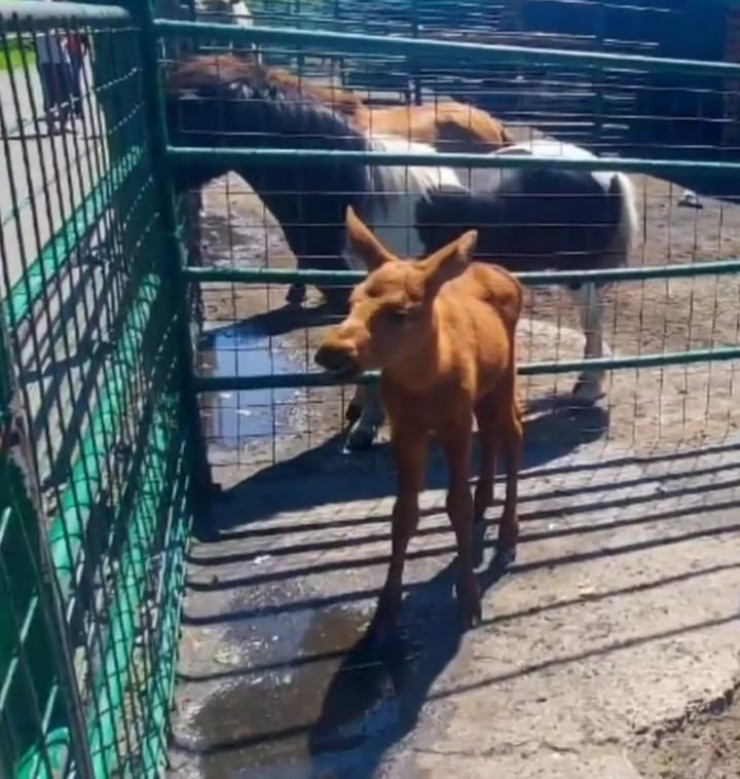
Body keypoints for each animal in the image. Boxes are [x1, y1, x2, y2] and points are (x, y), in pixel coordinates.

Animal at [315, 207, 523, 637]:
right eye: (352, 299)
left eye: (399, 312)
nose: (331, 351)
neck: (425, 381)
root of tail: (508, 275)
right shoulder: (406, 427)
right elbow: (403, 513)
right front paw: (386, 607)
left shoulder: (454, 421)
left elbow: (455, 503)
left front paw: (469, 599)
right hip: (484, 387)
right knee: (493, 434)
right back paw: (486, 506)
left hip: (505, 375)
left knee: (513, 433)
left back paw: (508, 532)